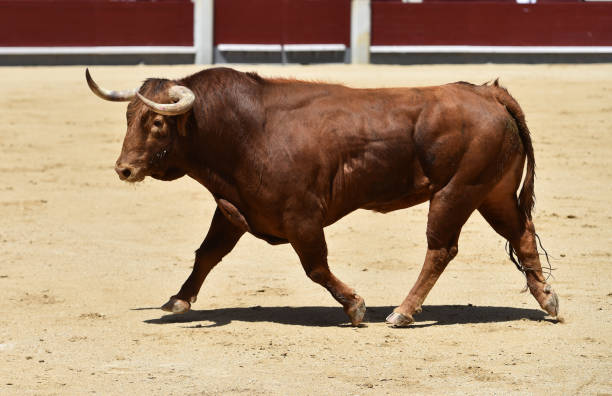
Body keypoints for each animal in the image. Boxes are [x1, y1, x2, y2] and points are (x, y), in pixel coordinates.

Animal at [86, 68, 560, 326]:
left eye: (157, 124)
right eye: (129, 116)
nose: (124, 169)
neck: (245, 130)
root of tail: (486, 92)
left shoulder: (301, 217)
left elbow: (315, 266)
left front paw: (355, 306)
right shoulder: (235, 208)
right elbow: (207, 253)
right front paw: (178, 299)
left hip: (455, 193)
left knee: (440, 249)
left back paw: (402, 313)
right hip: (492, 193)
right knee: (522, 234)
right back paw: (548, 301)